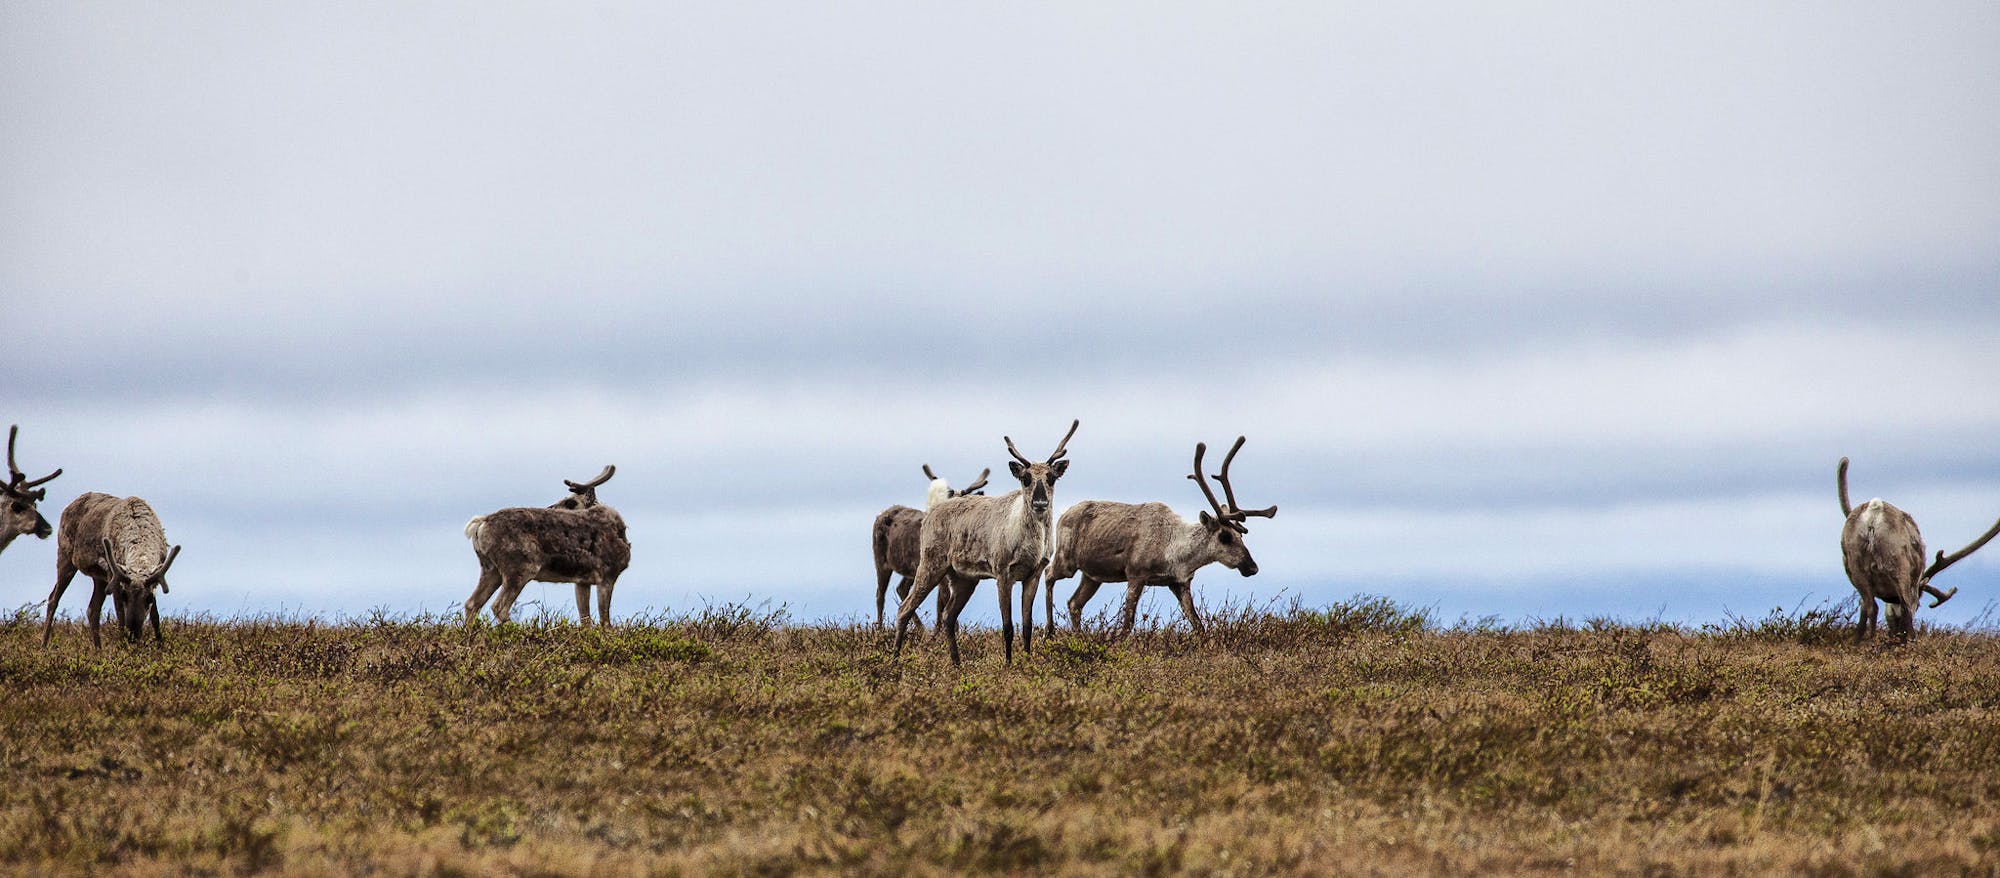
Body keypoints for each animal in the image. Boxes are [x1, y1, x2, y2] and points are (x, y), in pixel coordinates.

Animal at [43, 492, 180, 648]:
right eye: (124, 595)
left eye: (149, 598)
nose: (133, 635)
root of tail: (68, 507)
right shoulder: (114, 576)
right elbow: (120, 616)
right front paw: (123, 647)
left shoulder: (154, 579)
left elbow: (155, 617)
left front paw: (160, 646)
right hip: (65, 556)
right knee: (53, 598)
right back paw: (43, 646)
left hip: (98, 577)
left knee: (92, 609)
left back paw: (98, 650)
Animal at [464, 468, 628, 624]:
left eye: (570, 502)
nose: (550, 508)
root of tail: (481, 523)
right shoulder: (607, 576)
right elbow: (605, 622)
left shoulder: (582, 582)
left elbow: (586, 621)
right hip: (521, 568)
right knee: (498, 606)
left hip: (490, 568)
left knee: (472, 604)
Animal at [1056, 438, 1272, 640]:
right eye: (1225, 536)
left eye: (1241, 535)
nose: (1252, 567)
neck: (1174, 551)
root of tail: (1063, 514)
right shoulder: (1135, 575)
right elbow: (1127, 625)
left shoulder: (1180, 583)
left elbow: (1199, 626)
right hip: (1068, 561)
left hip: (1092, 575)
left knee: (1074, 603)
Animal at [1840, 460, 2000, 640]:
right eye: (1921, 604)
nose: (1894, 629)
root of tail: (1875, 510)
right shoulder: (1914, 584)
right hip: (1898, 564)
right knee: (1903, 606)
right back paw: (1906, 639)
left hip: (1855, 566)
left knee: (1869, 607)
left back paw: (1863, 641)